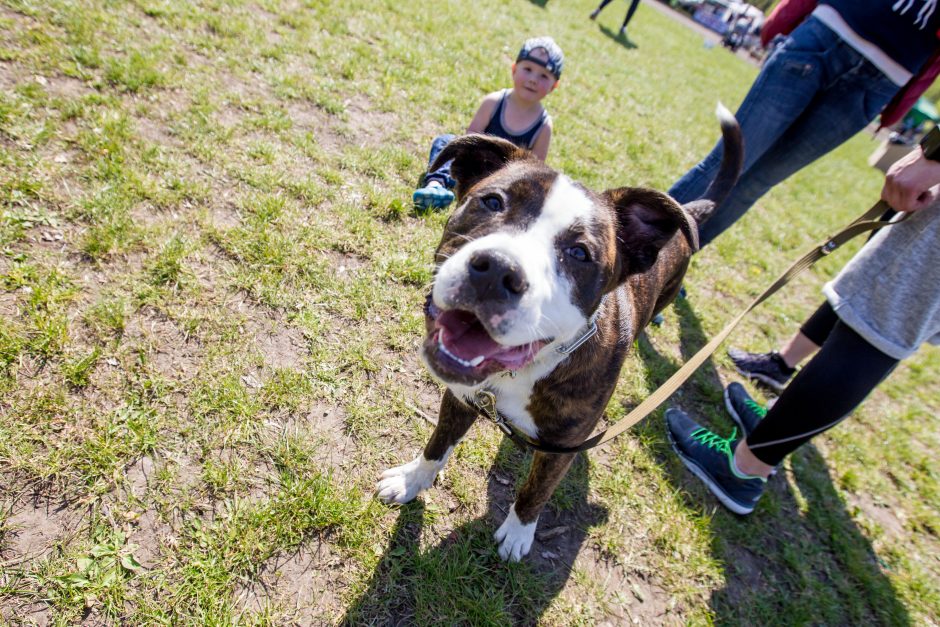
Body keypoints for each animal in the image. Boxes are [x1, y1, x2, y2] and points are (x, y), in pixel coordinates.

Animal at [374, 105, 740, 560]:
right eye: (493, 201)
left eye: (579, 253)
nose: (497, 271)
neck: (528, 369)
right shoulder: (460, 397)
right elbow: (438, 446)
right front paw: (412, 481)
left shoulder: (562, 449)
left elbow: (535, 492)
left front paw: (518, 533)